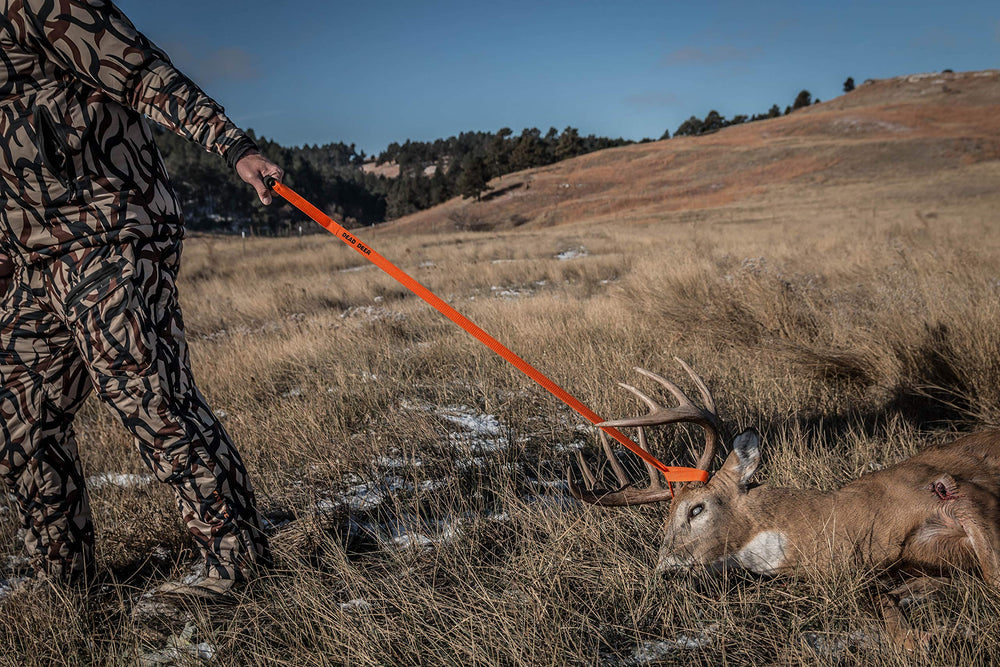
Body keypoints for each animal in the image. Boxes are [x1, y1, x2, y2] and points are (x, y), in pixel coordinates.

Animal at [568, 358, 1000, 651]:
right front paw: (924, 634)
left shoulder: (957, 491)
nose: (665, 571)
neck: (842, 523)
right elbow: (890, 609)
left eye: (696, 509)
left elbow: (992, 578)